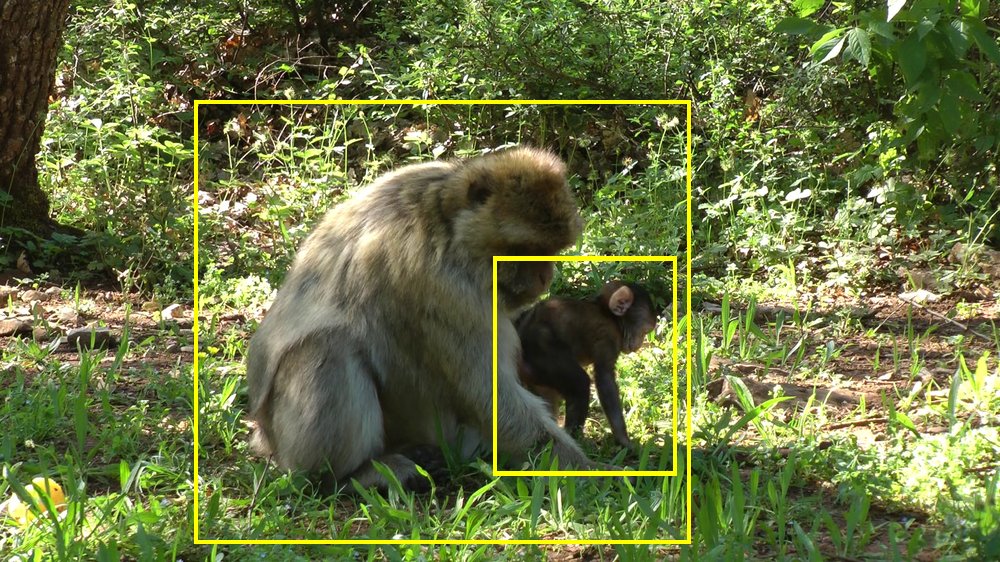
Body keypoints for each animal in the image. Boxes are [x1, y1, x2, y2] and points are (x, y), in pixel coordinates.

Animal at [245, 147, 595, 492]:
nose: (545, 277)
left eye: (552, 249)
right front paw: (590, 475)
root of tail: (264, 438)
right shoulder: (441, 286)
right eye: (528, 249)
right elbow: (488, 397)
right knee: (328, 347)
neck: (446, 223)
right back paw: (352, 475)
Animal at [516, 280, 658, 448]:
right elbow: (605, 380)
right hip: (543, 353)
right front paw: (624, 440)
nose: (639, 344)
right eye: (645, 331)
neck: (609, 315)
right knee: (580, 383)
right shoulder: (608, 336)